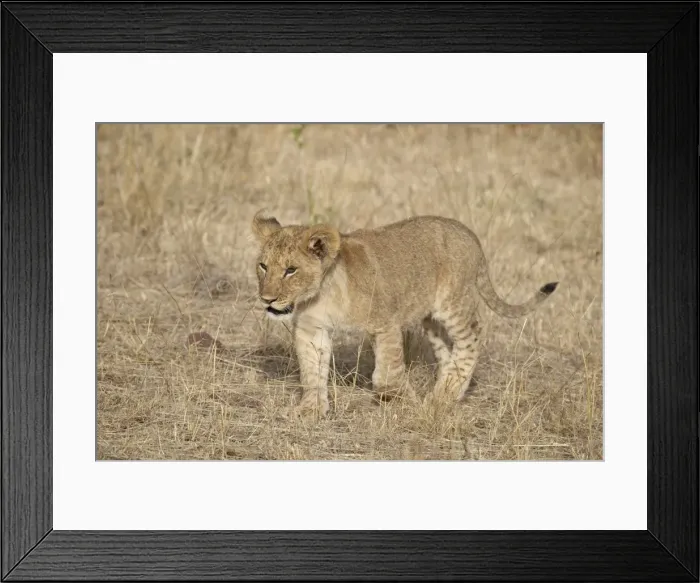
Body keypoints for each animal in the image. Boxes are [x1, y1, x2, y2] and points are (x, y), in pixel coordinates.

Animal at [251, 210, 558, 417]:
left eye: (291, 270)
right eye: (263, 266)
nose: (267, 299)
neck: (323, 293)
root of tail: (467, 232)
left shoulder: (384, 323)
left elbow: (388, 371)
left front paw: (401, 400)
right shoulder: (311, 330)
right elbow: (312, 372)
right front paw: (311, 409)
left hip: (453, 304)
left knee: (471, 337)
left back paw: (442, 397)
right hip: (430, 318)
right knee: (447, 350)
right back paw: (446, 389)